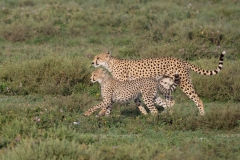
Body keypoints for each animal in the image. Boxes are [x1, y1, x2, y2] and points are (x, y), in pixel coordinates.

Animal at [91, 50, 226, 115]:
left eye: (98, 57)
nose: (92, 62)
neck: (110, 64)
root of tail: (181, 60)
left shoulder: (123, 86)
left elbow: (110, 101)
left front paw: (101, 112)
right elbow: (137, 101)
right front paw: (145, 113)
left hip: (184, 83)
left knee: (197, 99)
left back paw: (202, 115)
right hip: (164, 84)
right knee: (170, 101)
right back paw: (166, 113)